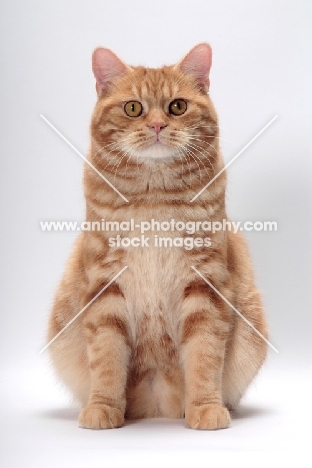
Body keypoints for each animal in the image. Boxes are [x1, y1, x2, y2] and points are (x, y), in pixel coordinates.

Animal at [47, 44, 266, 432]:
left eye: (177, 106)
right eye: (133, 108)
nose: (157, 125)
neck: (154, 197)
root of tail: (157, 408)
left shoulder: (205, 284)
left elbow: (204, 355)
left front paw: (205, 408)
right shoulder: (106, 286)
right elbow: (106, 357)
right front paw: (103, 408)